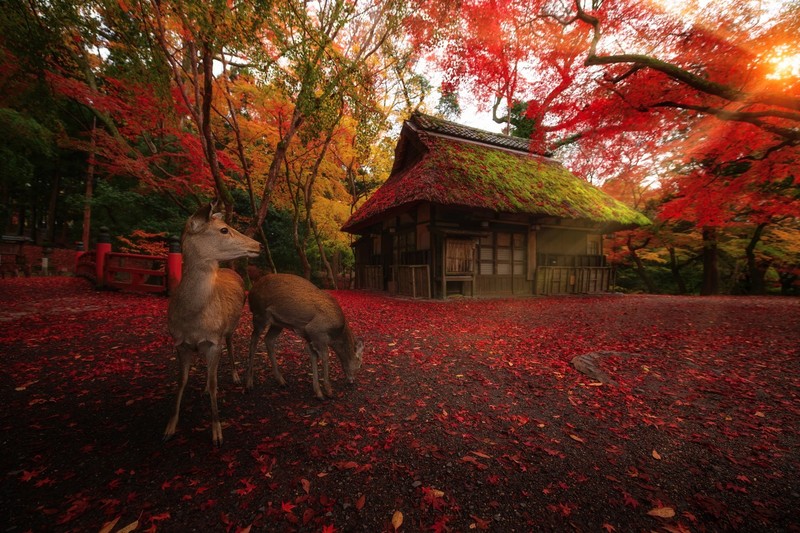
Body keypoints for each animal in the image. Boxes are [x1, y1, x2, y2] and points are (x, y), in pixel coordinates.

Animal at [163, 202, 262, 446]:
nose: (258, 244)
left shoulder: (214, 340)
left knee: (231, 346)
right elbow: (182, 381)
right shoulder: (179, 342)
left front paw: (217, 433)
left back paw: (235, 376)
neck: (192, 319)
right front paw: (169, 428)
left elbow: (215, 383)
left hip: (230, 326)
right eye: (224, 229)